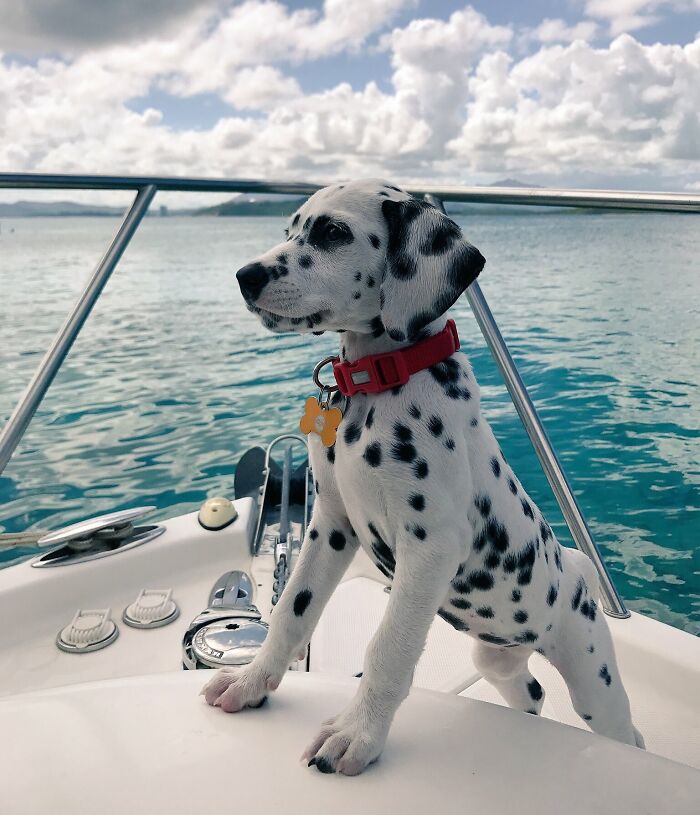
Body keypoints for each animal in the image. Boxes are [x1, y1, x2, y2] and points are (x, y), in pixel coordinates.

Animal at [200, 178, 644, 776]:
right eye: (289, 229)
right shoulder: (330, 526)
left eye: (333, 232)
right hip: (496, 657)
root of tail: (575, 570)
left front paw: (357, 733)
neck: (381, 381)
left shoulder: (429, 549)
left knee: (624, 729)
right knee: (528, 691)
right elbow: (292, 610)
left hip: (591, 675)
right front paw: (250, 683)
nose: (245, 276)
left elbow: (388, 647)